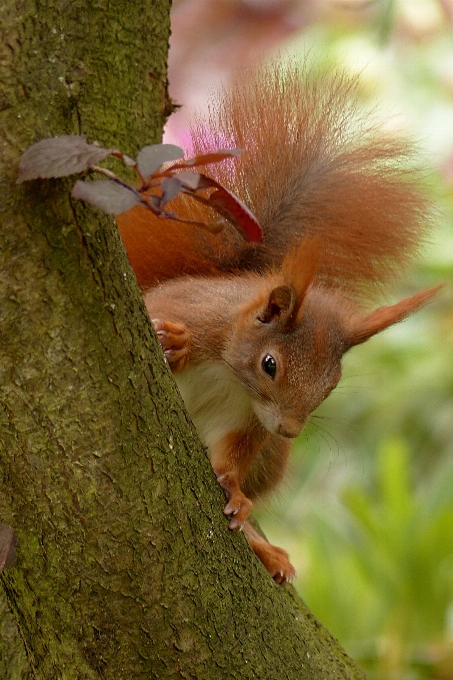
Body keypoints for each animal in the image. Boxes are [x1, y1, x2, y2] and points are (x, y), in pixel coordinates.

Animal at [115, 63, 438, 580]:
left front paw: (236, 496)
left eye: (332, 384)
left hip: (272, 461)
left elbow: (231, 461)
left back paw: (266, 551)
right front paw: (175, 344)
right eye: (270, 365)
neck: (228, 371)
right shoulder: (189, 314)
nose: (289, 430)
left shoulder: (248, 422)